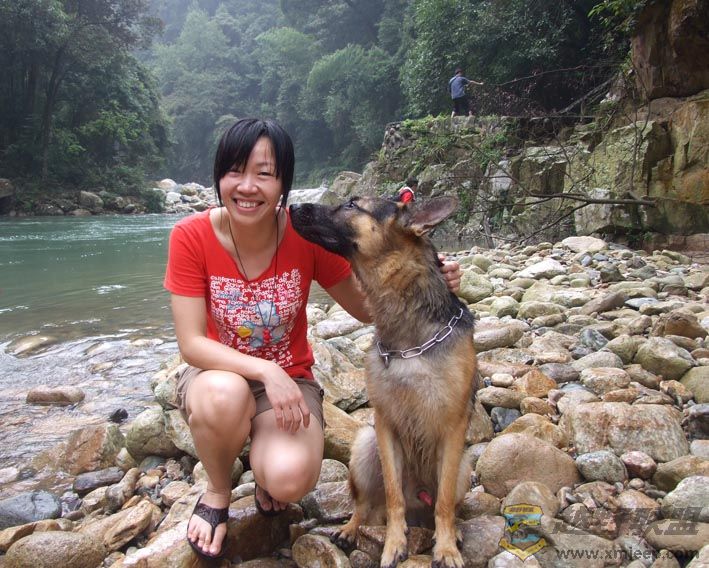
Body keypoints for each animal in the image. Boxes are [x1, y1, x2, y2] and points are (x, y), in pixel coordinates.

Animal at [291, 196, 478, 568]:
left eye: (352, 204)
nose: (291, 207)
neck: (409, 337)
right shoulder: (386, 426)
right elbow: (393, 497)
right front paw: (393, 543)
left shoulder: (453, 430)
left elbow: (445, 502)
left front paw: (446, 547)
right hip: (365, 448)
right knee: (366, 505)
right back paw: (351, 529)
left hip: (464, 466)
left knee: (445, 503)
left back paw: (453, 531)